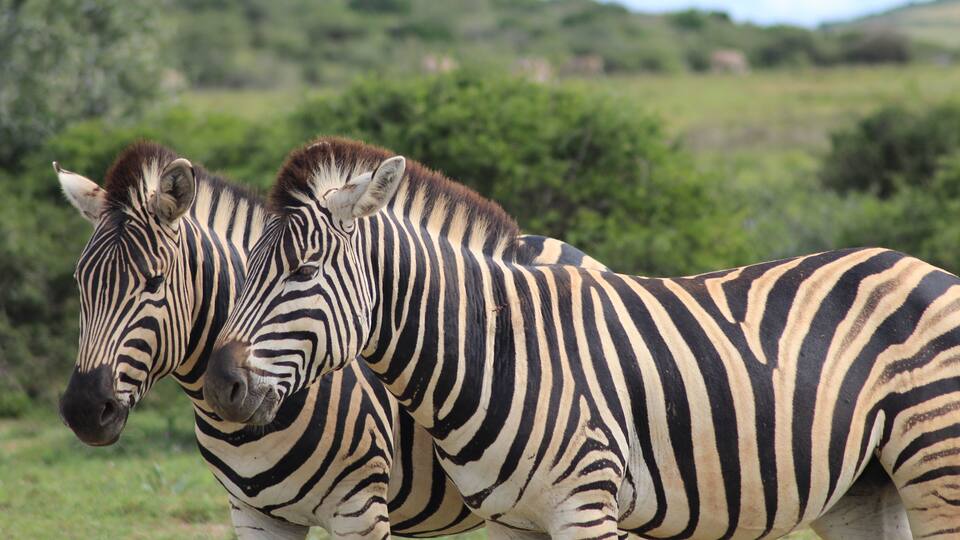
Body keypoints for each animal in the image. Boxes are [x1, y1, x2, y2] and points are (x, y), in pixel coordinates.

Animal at [205, 137, 960, 539]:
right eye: (245, 266)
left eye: (304, 272)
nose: (220, 384)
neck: (496, 352)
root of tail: (918, 264)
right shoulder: (511, 521)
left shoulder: (587, 508)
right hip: (866, 485)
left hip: (936, 466)